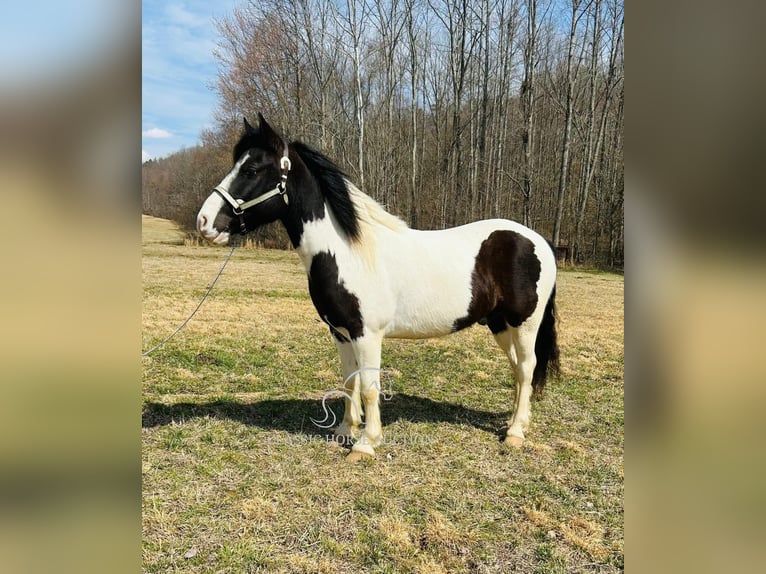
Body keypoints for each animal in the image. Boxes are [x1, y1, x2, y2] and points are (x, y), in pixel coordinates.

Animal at [196, 116, 560, 464]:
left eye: (252, 169)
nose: (204, 222)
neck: (346, 251)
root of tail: (537, 240)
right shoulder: (341, 333)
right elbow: (349, 381)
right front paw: (345, 430)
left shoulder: (367, 334)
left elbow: (370, 387)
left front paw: (366, 444)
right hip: (499, 324)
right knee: (518, 369)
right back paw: (516, 421)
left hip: (525, 323)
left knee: (527, 367)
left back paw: (515, 432)